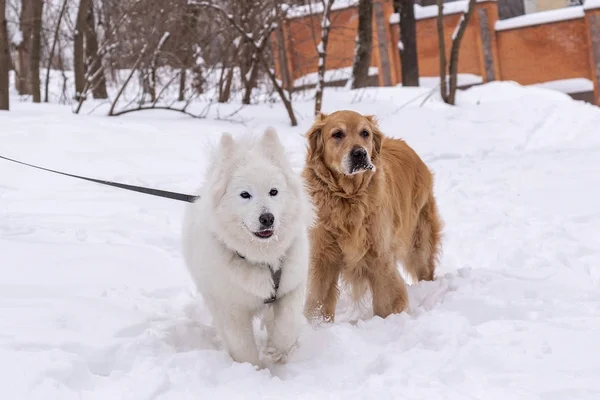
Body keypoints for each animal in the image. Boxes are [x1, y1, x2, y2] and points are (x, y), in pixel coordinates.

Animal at [182, 128, 314, 368]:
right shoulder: (230, 308)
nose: (267, 218)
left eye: (273, 192)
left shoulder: (292, 286)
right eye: (245, 194)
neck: (263, 258)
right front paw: (253, 370)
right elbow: (242, 346)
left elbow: (288, 323)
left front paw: (278, 351)